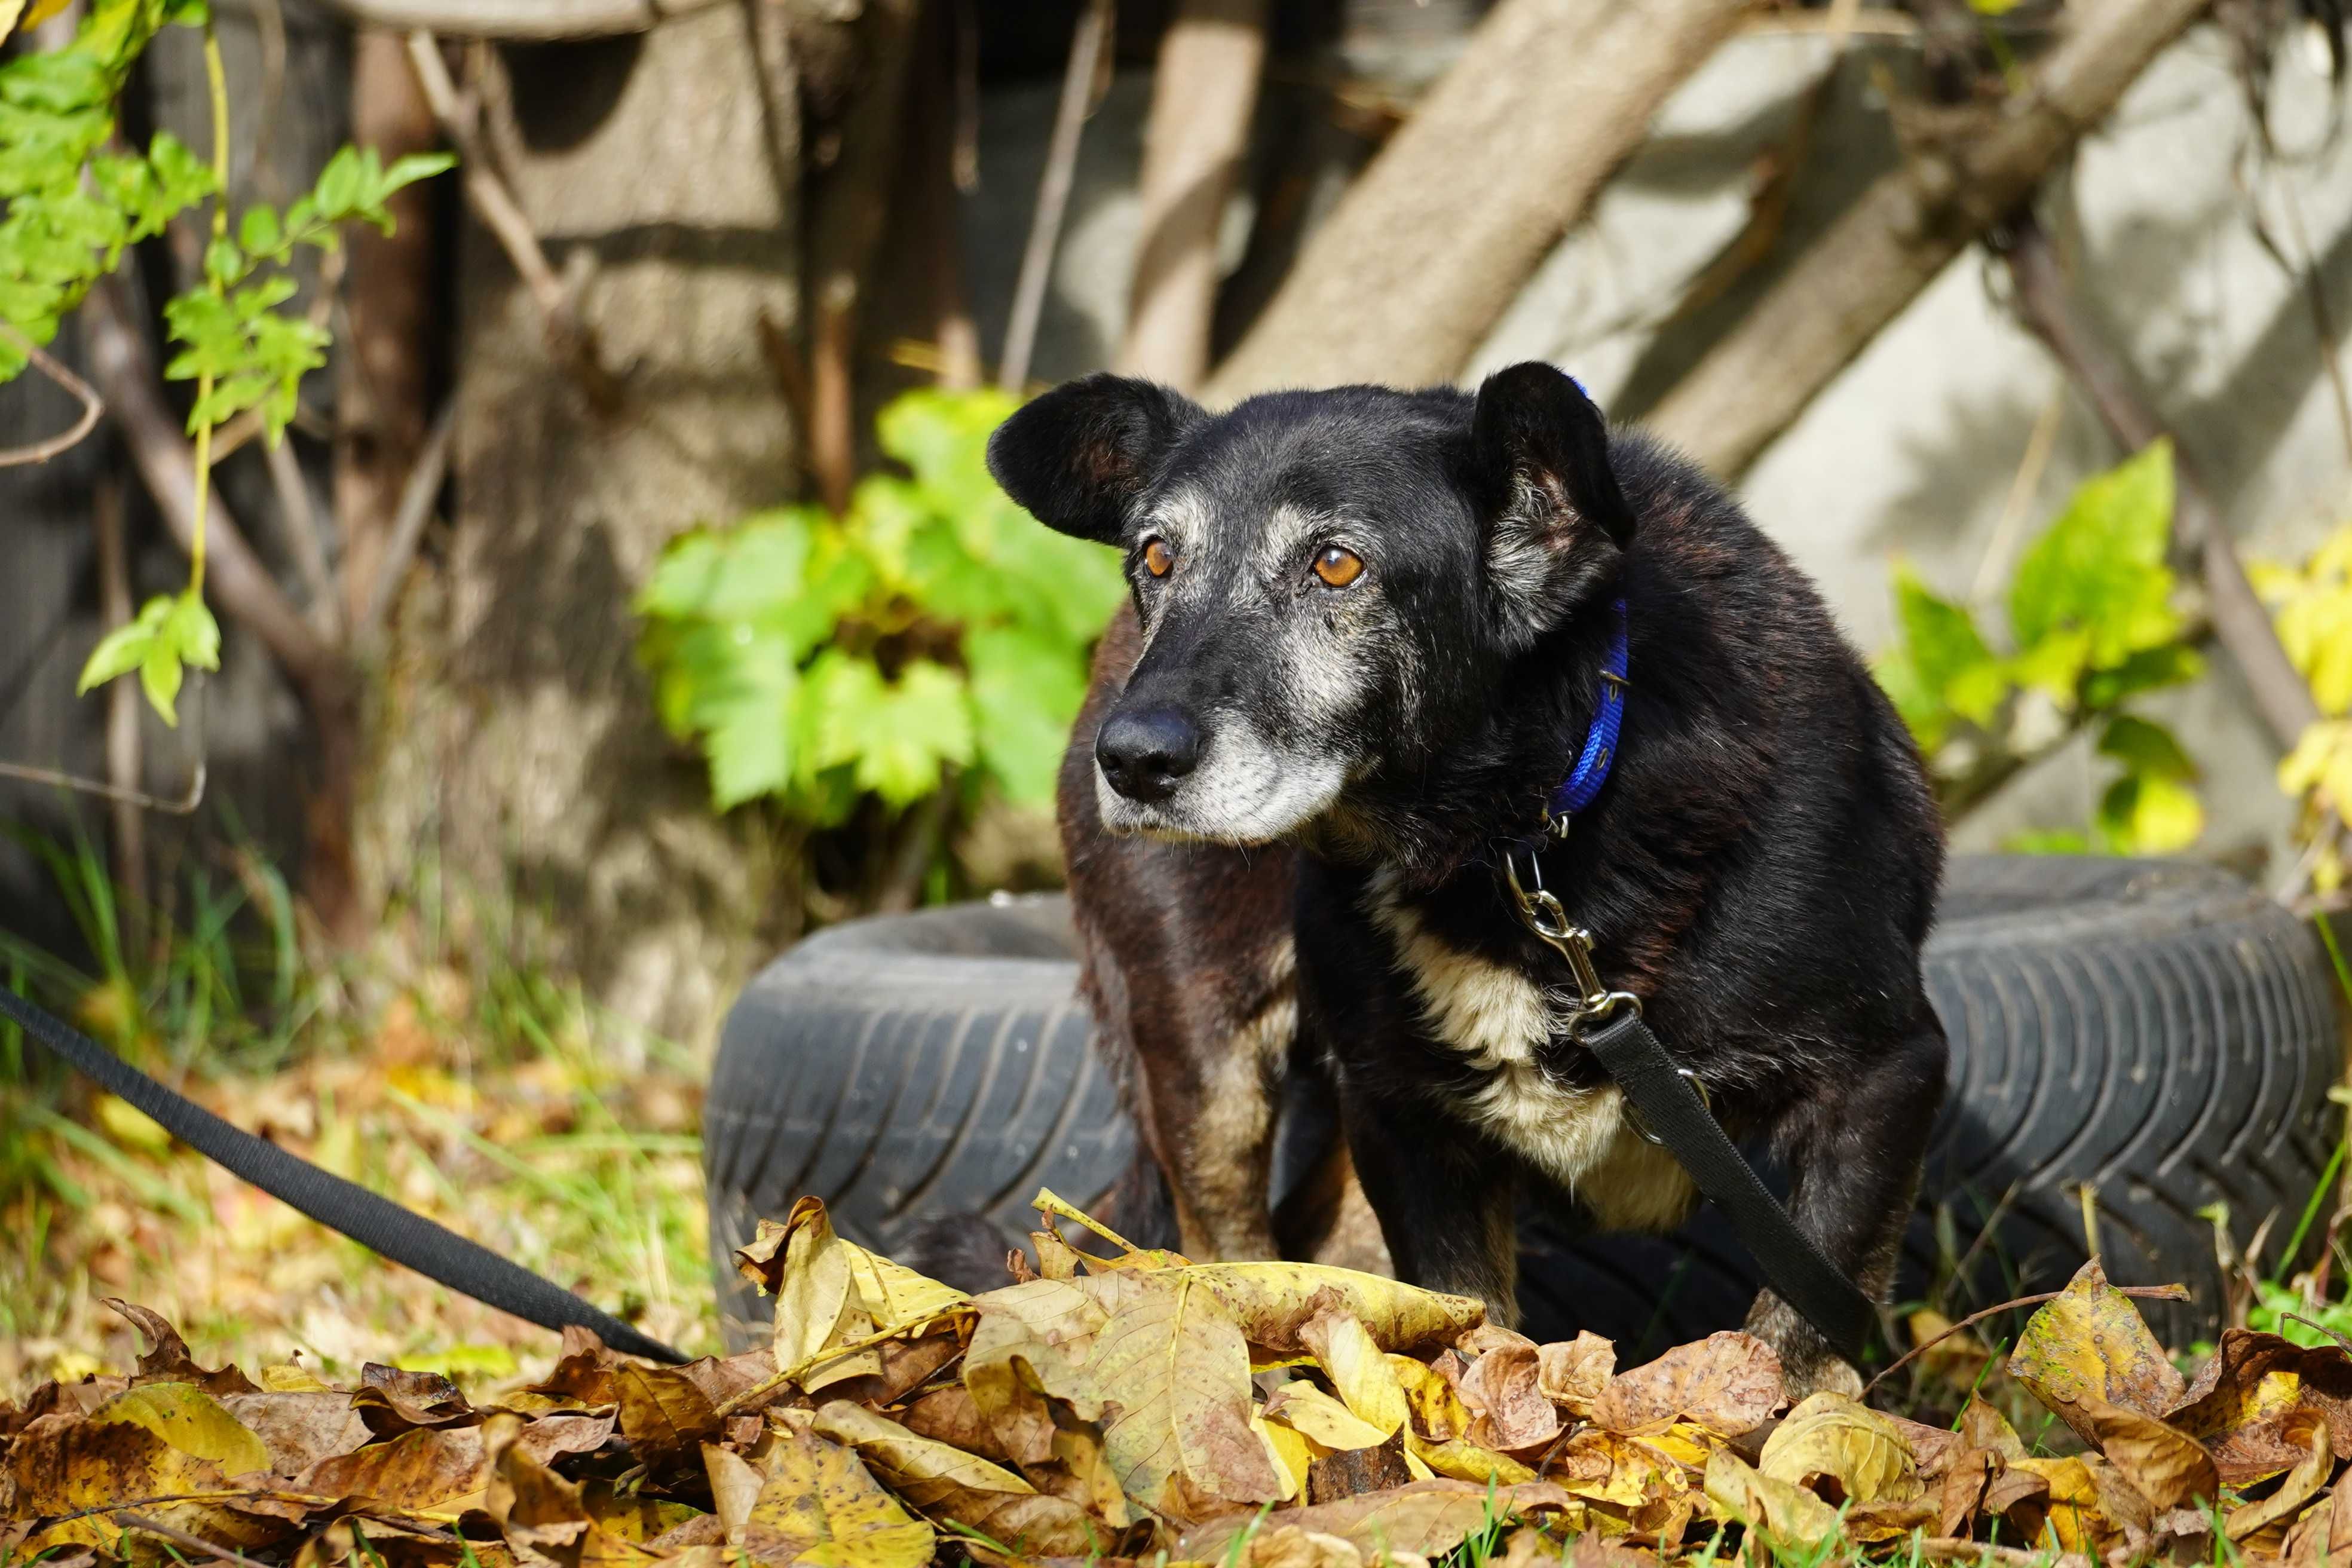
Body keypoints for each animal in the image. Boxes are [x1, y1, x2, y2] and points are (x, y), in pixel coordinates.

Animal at [983, 362, 1938, 1391]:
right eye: (1157, 557)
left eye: (1336, 565)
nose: (1133, 761)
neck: (1511, 840)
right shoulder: (1407, 1124)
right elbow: (1464, 1332)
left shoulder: (1884, 1078)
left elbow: (1794, 1345)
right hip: (1208, 1059)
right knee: (1228, 1245)